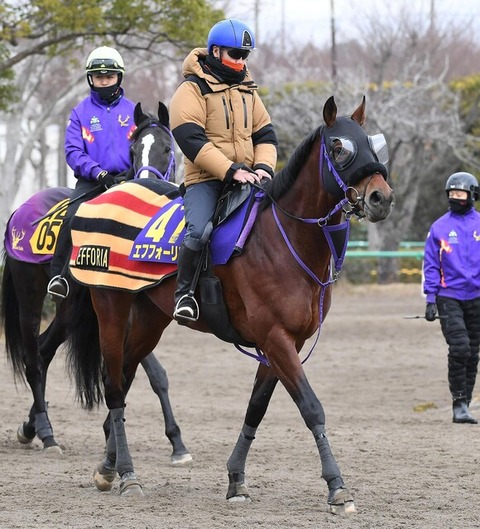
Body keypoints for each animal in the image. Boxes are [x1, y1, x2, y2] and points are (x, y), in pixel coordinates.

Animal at [0, 101, 191, 464]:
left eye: (167, 148)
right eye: (134, 150)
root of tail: (18, 212)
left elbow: (153, 374)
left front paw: (177, 441)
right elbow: (132, 370)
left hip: (68, 312)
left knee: (44, 350)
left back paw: (31, 427)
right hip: (31, 296)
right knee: (33, 360)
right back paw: (46, 433)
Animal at [63, 96, 394, 512]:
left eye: (371, 144)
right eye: (339, 148)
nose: (381, 197)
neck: (284, 238)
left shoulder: (285, 342)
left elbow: (257, 407)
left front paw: (236, 478)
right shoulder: (275, 338)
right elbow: (311, 406)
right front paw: (337, 486)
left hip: (148, 321)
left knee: (122, 382)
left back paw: (108, 468)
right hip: (111, 309)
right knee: (112, 384)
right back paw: (127, 474)